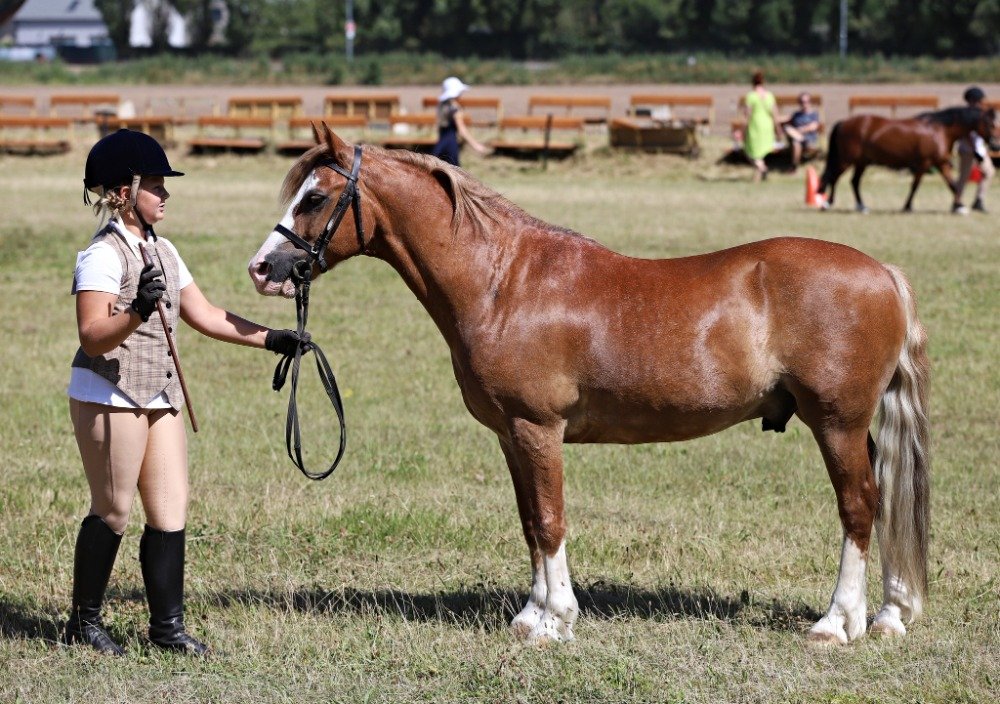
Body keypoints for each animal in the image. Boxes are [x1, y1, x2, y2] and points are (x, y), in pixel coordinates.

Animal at [248, 128, 928, 648]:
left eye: (315, 196)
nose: (262, 268)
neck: (503, 282)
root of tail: (885, 274)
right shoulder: (512, 436)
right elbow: (529, 521)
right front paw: (531, 615)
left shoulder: (537, 428)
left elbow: (550, 520)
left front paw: (555, 621)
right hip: (856, 429)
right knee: (883, 498)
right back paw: (889, 615)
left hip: (836, 423)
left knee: (858, 507)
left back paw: (837, 624)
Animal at [820, 105, 1000, 212]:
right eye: (990, 124)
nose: (995, 146)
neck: (939, 130)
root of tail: (844, 122)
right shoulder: (924, 163)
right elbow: (915, 185)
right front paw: (907, 206)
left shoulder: (941, 163)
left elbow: (953, 185)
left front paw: (959, 206)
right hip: (847, 160)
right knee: (834, 177)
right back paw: (827, 203)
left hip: (861, 162)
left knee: (854, 181)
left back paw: (862, 206)